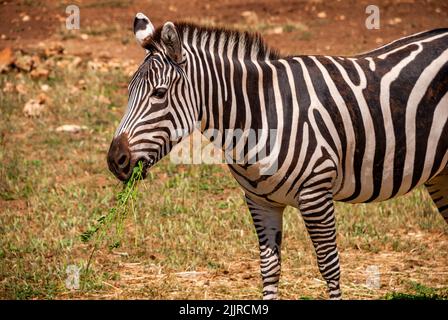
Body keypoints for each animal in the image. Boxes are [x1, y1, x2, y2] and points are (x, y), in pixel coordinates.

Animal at [107, 11, 448, 298]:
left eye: (159, 94)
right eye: (128, 91)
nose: (115, 160)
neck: (259, 115)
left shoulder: (315, 195)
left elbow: (329, 266)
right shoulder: (260, 202)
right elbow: (269, 268)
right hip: (441, 174)